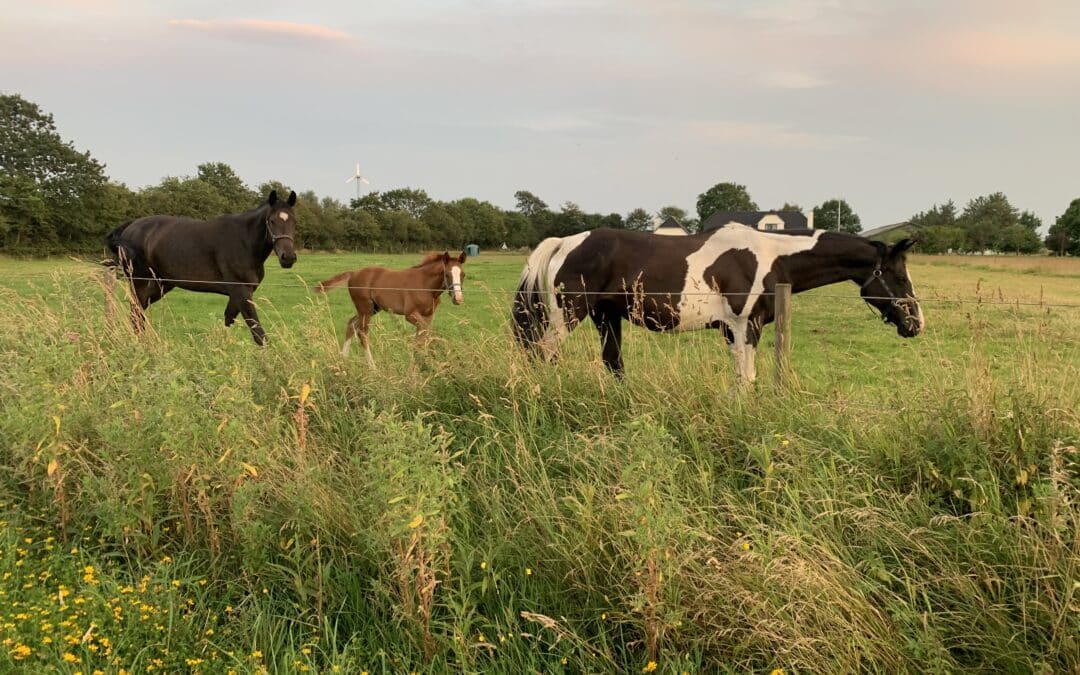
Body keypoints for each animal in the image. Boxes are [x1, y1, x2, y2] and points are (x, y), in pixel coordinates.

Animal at [103, 191, 298, 345]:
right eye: (271, 221)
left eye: (294, 222)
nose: (288, 258)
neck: (244, 242)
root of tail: (130, 226)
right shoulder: (241, 291)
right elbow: (258, 333)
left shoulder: (239, 293)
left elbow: (229, 320)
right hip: (140, 282)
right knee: (136, 313)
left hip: (161, 284)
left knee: (139, 312)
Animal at [313, 251, 464, 365]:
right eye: (447, 274)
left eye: (463, 275)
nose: (458, 299)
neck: (425, 285)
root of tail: (353, 273)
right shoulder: (410, 314)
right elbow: (425, 333)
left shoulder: (429, 315)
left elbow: (423, 335)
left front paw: (421, 362)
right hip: (365, 309)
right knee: (362, 332)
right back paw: (372, 367)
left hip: (371, 309)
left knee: (351, 324)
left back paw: (343, 359)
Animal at [509, 226, 924, 382]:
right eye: (900, 277)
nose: (916, 323)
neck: (772, 258)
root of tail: (564, 242)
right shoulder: (742, 328)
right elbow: (746, 378)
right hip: (567, 317)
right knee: (544, 355)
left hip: (606, 317)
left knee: (613, 364)